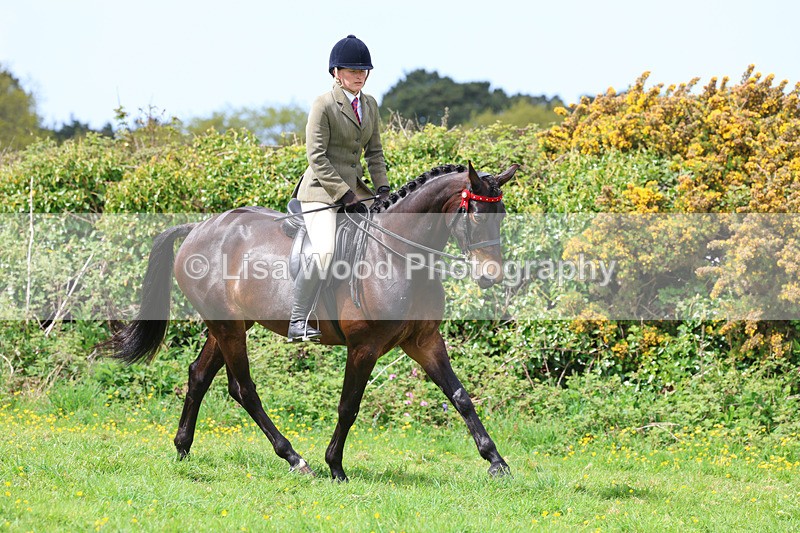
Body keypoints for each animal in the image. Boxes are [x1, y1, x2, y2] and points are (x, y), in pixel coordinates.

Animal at [101, 161, 519, 481]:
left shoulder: (424, 341)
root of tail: (198, 229)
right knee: (244, 389)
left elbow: (461, 397)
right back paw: (294, 458)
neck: (396, 254)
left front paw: (496, 462)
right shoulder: (364, 347)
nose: (492, 277)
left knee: (199, 376)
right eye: (475, 214)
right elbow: (349, 406)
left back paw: (183, 449)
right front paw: (335, 466)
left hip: (231, 324)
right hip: (229, 328)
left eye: (501, 216)